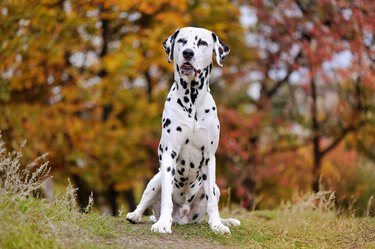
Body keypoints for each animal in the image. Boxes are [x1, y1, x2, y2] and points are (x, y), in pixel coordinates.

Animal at [126, 26, 241, 233]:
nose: (188, 53)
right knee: (145, 202)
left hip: (215, 188)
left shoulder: (209, 157)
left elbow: (213, 202)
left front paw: (217, 225)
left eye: (202, 42)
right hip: (155, 180)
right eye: (181, 41)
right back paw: (137, 215)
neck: (192, 100)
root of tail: (181, 216)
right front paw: (163, 224)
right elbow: (166, 198)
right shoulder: (169, 153)